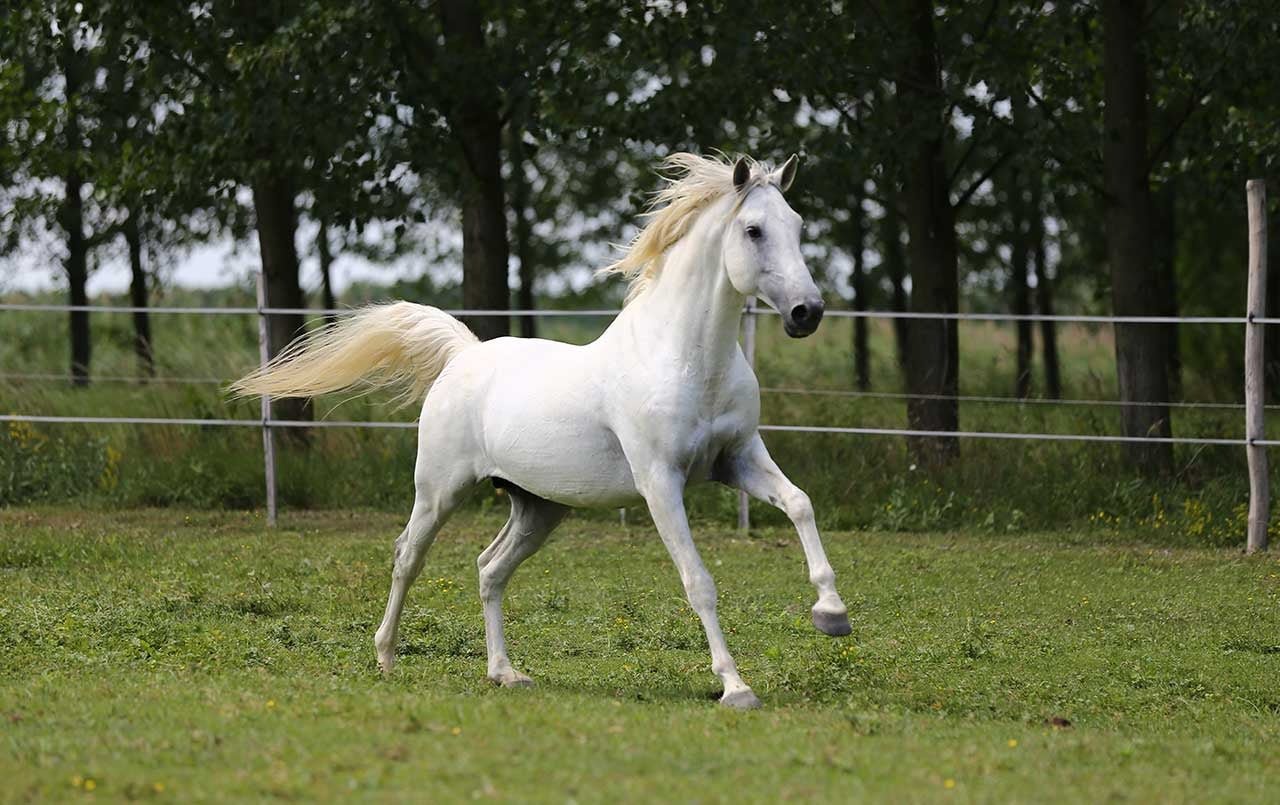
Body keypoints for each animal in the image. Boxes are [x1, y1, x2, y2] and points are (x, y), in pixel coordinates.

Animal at [232, 153, 850, 709]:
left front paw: (831, 614)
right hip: (439, 491)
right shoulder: (660, 482)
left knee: (489, 569)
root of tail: (465, 354)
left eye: (797, 225)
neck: (684, 358)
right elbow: (698, 581)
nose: (807, 312)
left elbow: (800, 503)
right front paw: (736, 688)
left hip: (538, 507)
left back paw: (505, 674)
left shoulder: (738, 458)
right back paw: (386, 658)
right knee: (409, 555)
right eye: (753, 229)